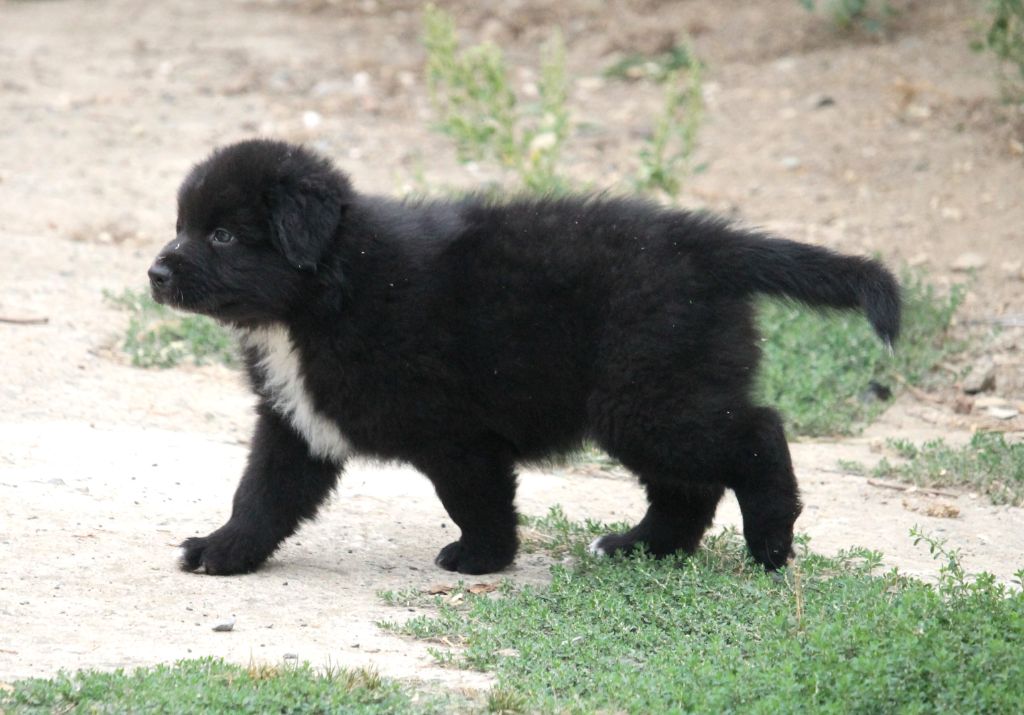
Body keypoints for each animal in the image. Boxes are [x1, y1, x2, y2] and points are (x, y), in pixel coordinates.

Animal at [149, 139, 900, 576]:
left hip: (646, 396)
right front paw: (223, 549)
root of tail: (713, 245)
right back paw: (639, 548)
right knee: (688, 486)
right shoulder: (297, 421)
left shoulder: (455, 432)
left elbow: (474, 498)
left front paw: (481, 559)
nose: (155, 273)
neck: (329, 290)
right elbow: (262, 494)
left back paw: (770, 541)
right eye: (182, 225)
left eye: (222, 235)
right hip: (648, 397)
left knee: (756, 433)